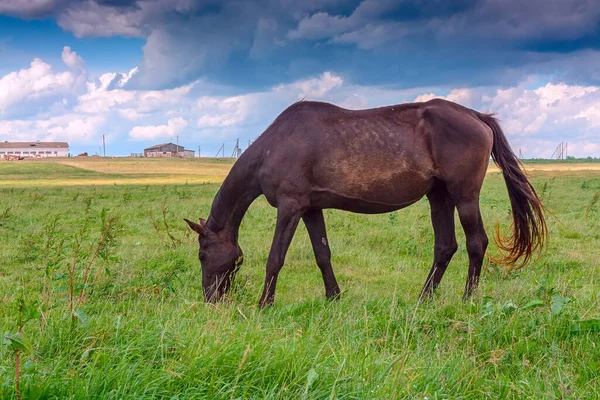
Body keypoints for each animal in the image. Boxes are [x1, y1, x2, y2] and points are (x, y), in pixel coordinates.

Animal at [185, 97, 548, 306]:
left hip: (464, 194)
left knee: (476, 243)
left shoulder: (290, 207)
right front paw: (333, 298)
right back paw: (423, 299)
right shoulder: (311, 208)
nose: (210, 299)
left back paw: (467, 298)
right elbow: (322, 254)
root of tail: (477, 116)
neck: (274, 146)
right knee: (445, 246)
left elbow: (276, 258)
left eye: (203, 254)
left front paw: (264, 304)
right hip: (439, 195)